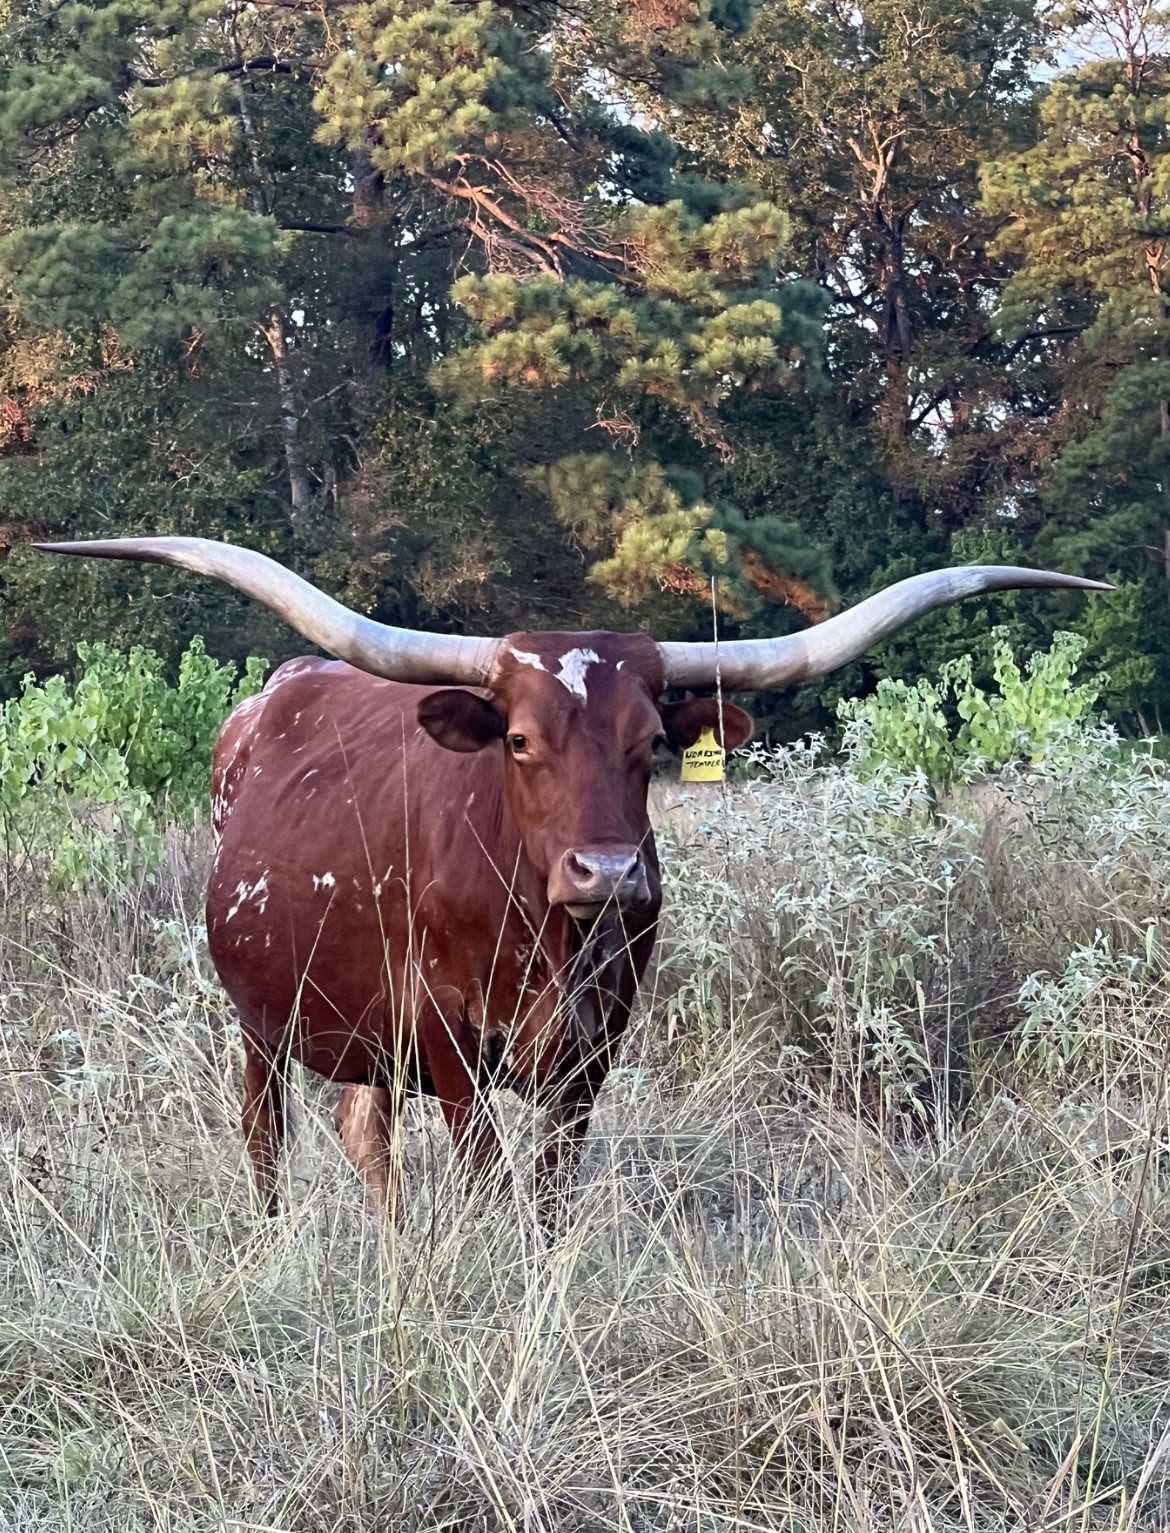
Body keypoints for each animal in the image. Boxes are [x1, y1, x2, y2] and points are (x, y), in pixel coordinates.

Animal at [36, 538, 1107, 1215]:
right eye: (518, 739)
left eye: (652, 745)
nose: (608, 870)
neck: (543, 928)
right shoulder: (453, 1046)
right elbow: (482, 1184)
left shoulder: (588, 1059)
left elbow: (549, 1195)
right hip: (259, 1017)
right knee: (264, 1140)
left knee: (363, 1133)